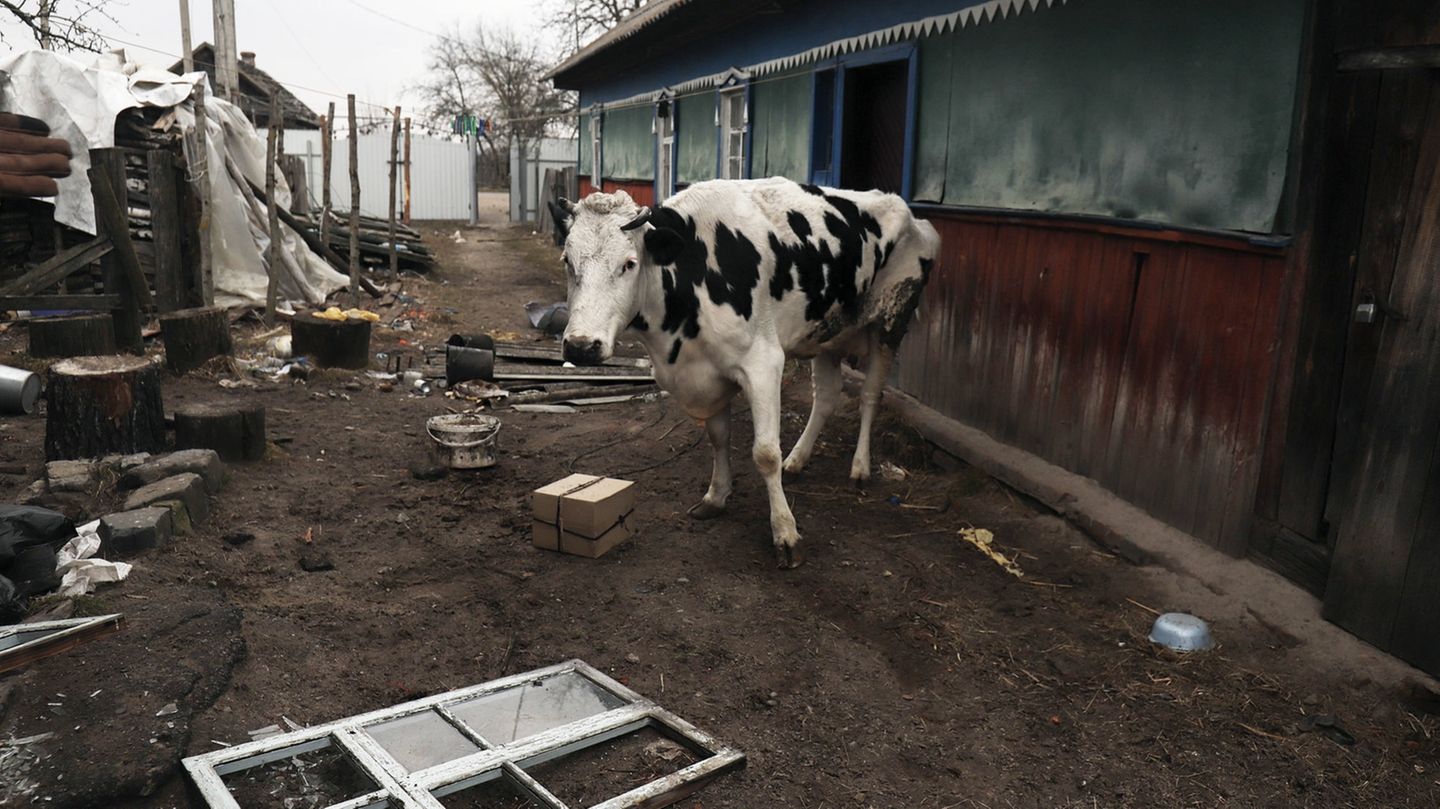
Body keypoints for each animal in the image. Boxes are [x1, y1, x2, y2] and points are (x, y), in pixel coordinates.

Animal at [555, 176, 938, 567]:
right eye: (568, 261)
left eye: (629, 263)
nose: (581, 346)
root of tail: (909, 213)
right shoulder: (707, 375)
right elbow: (718, 437)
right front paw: (716, 497)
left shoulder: (763, 363)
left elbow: (765, 453)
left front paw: (785, 532)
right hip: (827, 332)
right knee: (827, 397)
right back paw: (797, 460)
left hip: (889, 325)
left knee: (871, 396)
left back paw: (860, 468)